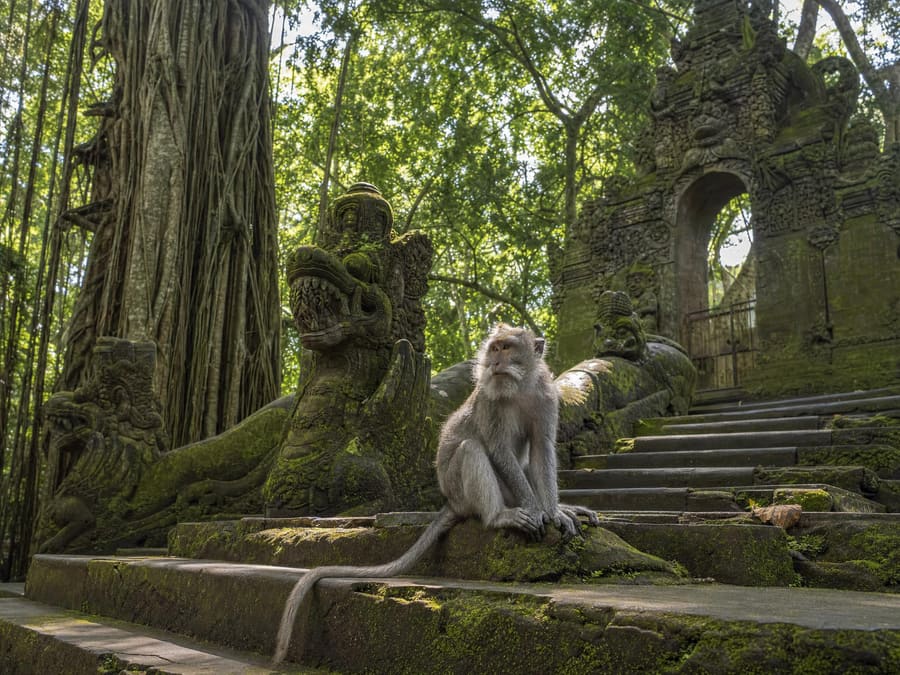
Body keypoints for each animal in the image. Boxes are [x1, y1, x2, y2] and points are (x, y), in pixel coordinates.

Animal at [272, 323, 599, 664]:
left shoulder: (545, 397)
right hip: (460, 489)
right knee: (472, 449)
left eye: (507, 347)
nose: (494, 363)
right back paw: (499, 516)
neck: (519, 387)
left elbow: (541, 451)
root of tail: (450, 501)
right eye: (494, 348)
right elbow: (499, 451)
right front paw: (537, 510)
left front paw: (553, 511)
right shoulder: (490, 401)